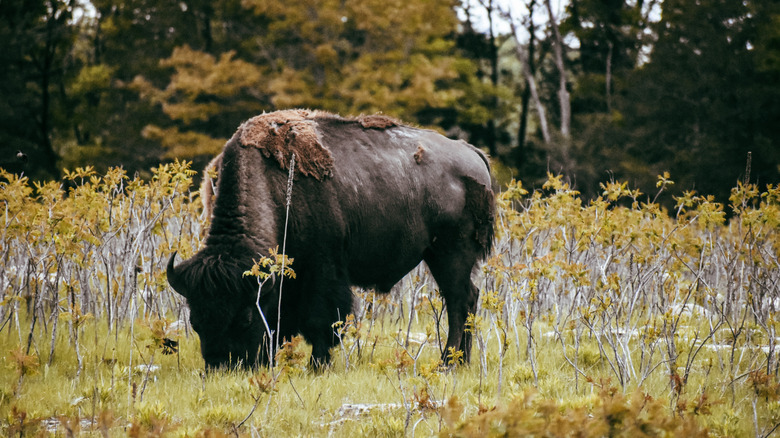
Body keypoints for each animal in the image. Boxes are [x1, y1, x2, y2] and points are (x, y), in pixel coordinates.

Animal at [167, 110, 494, 369]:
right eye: (196, 321)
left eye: (245, 317)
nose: (221, 365)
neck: (273, 190)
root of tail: (471, 153)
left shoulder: (322, 271)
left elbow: (322, 320)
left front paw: (317, 365)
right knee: (469, 297)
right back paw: (460, 361)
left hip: (450, 254)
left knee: (459, 301)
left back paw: (447, 363)